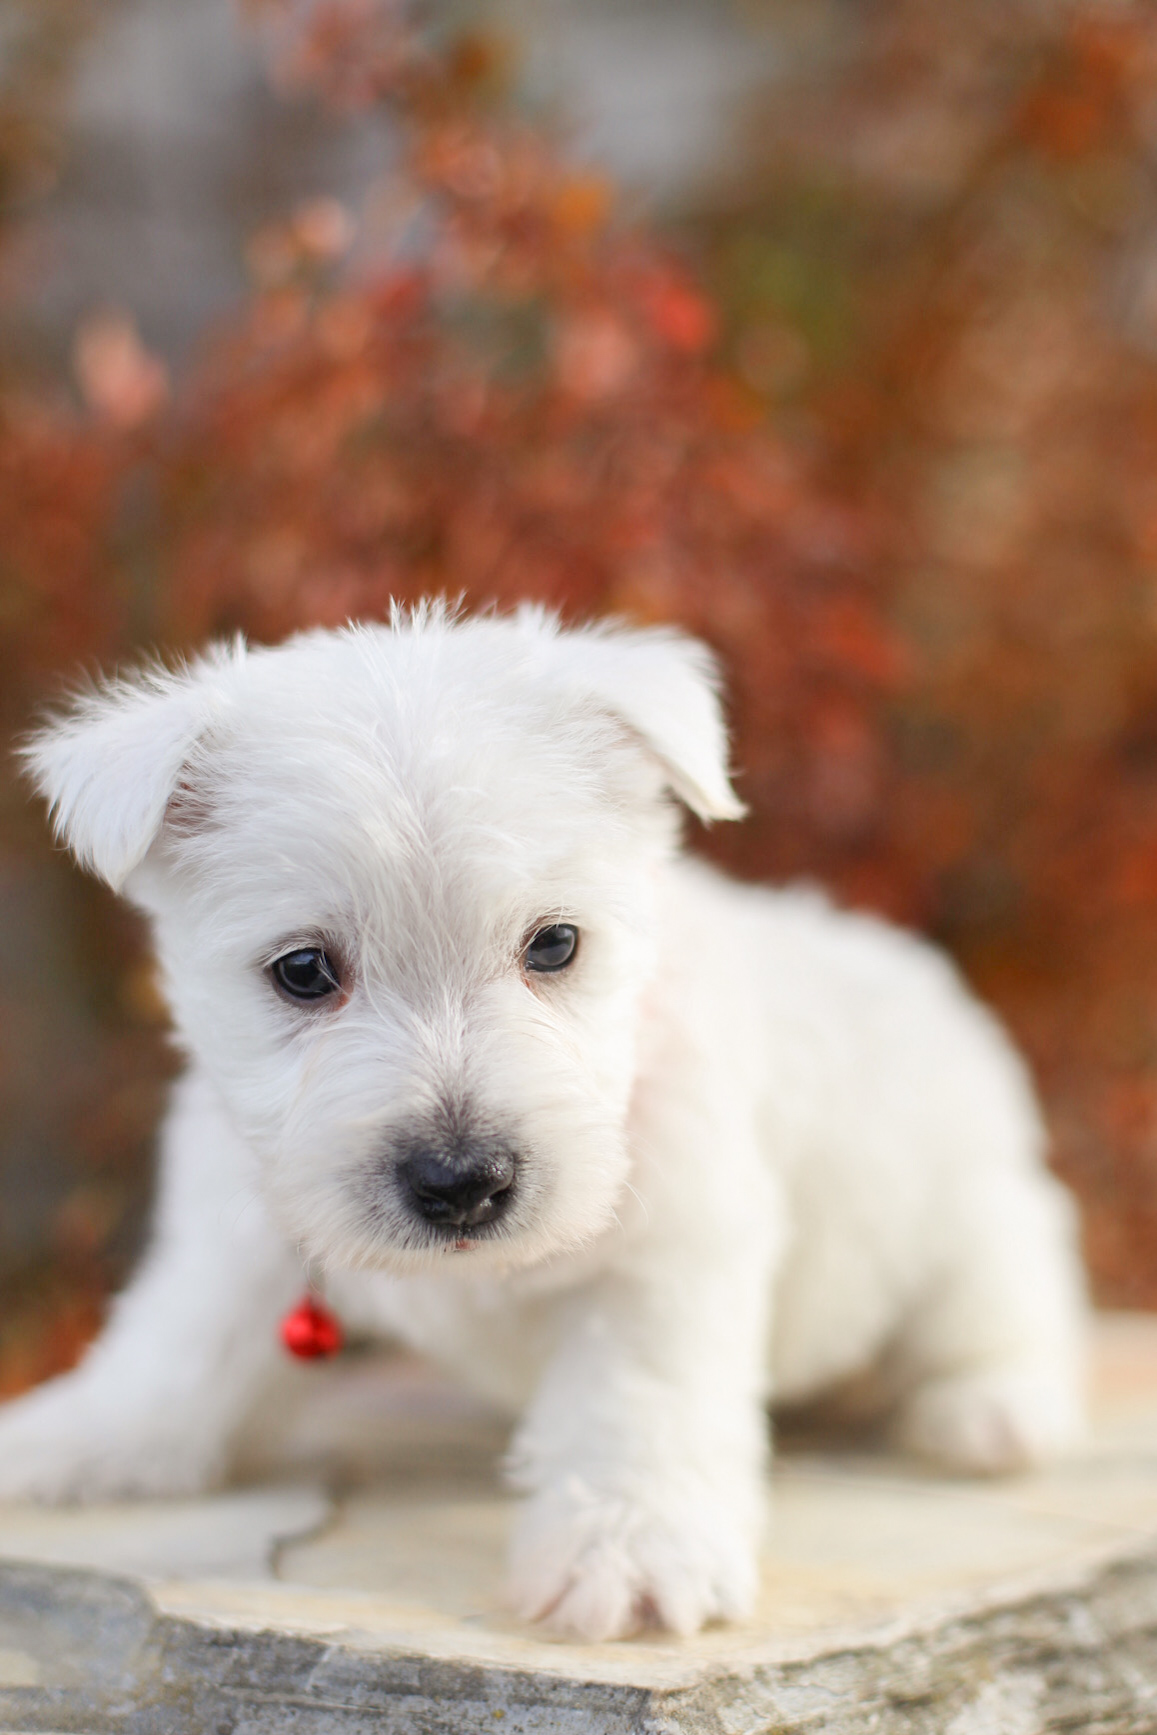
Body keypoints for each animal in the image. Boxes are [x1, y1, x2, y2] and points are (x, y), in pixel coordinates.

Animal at [4, 607, 1089, 1637]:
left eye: (554, 943)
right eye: (303, 970)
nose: (461, 1182)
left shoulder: (663, 1257)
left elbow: (635, 1401)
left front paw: (631, 1552)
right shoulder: (240, 1235)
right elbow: (181, 1346)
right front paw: (78, 1438)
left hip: (961, 1213)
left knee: (1006, 1296)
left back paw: (994, 1407)